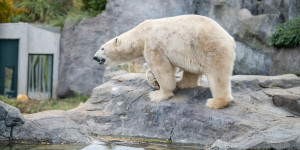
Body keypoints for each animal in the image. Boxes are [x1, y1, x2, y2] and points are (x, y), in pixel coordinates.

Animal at [95, 14, 236, 109]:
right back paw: (181, 83)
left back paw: (216, 102)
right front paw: (154, 80)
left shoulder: (153, 44)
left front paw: (157, 95)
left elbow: (162, 68)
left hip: (211, 48)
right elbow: (169, 68)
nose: (95, 57)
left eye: (102, 48)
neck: (142, 33)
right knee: (190, 71)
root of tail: (231, 39)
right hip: (193, 50)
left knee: (217, 75)